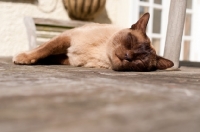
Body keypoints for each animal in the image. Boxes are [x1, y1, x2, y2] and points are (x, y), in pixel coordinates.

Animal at [12, 12, 173, 71]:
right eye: (131, 41)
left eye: (140, 61)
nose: (128, 56)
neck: (101, 54)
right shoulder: (67, 37)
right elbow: (44, 49)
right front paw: (23, 58)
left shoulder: (68, 59)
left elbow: (48, 55)